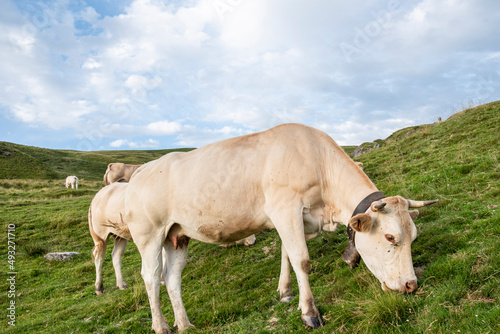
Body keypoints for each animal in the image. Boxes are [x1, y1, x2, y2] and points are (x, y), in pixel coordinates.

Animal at [125, 124, 438, 332]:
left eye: (414, 237)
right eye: (390, 237)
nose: (411, 285)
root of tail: (142, 169)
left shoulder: (292, 218)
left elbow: (287, 254)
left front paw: (286, 292)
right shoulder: (284, 209)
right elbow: (302, 259)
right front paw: (310, 313)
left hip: (176, 235)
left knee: (172, 278)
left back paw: (185, 324)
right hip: (149, 235)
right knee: (151, 277)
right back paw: (161, 326)